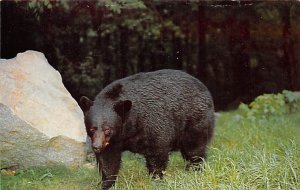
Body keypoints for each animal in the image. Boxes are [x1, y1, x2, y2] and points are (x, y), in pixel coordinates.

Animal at [81, 69, 214, 189]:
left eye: (107, 129)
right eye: (92, 129)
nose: (96, 146)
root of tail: (204, 87)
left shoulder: (154, 123)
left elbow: (157, 152)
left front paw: (156, 180)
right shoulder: (112, 142)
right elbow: (108, 160)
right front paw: (106, 184)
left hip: (195, 120)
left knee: (194, 149)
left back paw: (194, 170)